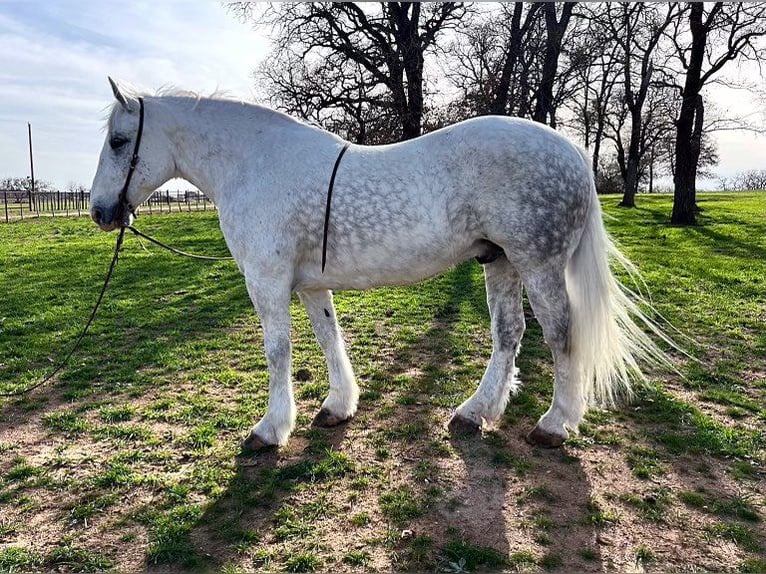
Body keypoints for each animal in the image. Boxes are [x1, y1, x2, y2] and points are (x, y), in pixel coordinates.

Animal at [88, 79, 664, 452]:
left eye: (118, 141)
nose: (99, 211)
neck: (254, 164)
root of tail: (571, 151)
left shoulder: (267, 281)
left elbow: (277, 351)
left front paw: (270, 430)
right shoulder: (309, 285)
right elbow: (329, 338)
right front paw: (338, 406)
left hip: (538, 262)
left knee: (561, 334)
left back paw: (555, 423)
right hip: (500, 261)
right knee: (509, 334)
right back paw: (475, 413)